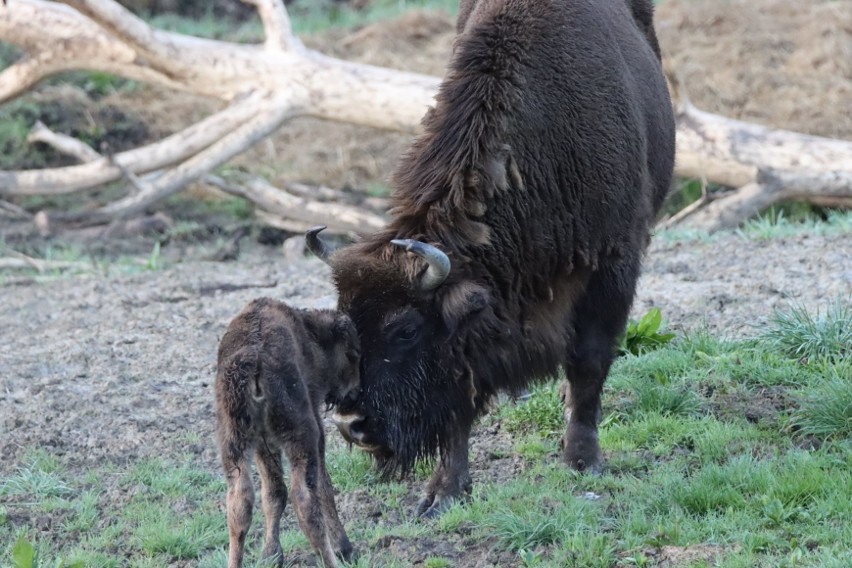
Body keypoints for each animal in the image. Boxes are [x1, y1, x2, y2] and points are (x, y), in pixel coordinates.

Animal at [216, 300, 360, 564]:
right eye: (353, 353)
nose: (354, 393)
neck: (310, 334)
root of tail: (254, 363)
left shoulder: (264, 445)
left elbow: (273, 494)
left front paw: (271, 555)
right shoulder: (315, 434)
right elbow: (324, 487)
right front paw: (344, 548)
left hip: (234, 443)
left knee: (239, 504)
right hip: (301, 437)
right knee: (305, 500)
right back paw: (334, 558)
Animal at [306, 0, 672, 516]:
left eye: (406, 329)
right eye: (348, 324)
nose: (350, 424)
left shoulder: (611, 266)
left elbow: (589, 360)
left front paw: (582, 461)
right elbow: (461, 399)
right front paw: (443, 492)